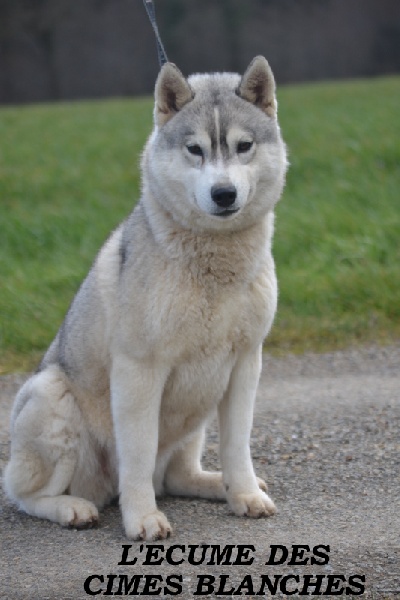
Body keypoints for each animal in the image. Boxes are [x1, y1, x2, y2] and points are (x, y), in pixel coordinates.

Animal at [3, 57, 288, 540]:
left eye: (244, 146)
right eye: (194, 149)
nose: (224, 193)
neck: (213, 265)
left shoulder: (246, 363)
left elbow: (238, 445)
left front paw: (246, 495)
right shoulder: (140, 371)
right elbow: (135, 457)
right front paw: (143, 519)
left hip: (196, 413)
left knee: (176, 476)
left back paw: (216, 484)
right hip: (50, 397)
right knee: (25, 494)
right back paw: (72, 508)